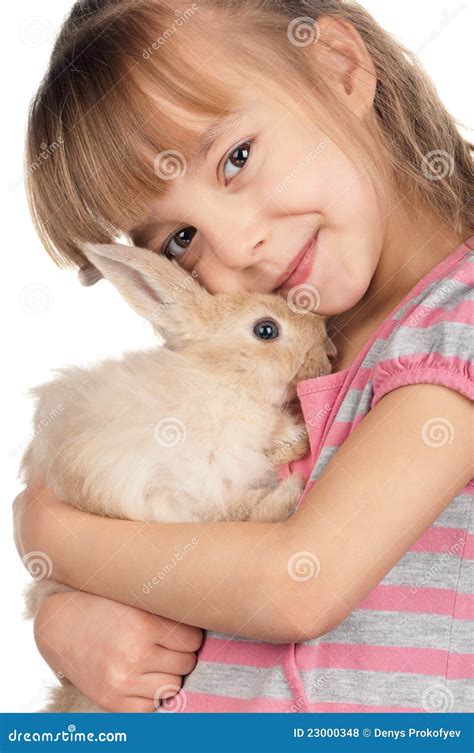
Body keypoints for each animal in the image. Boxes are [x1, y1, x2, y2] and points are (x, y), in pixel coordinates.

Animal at [21, 241, 334, 712]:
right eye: (266, 330)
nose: (329, 347)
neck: (224, 379)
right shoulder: (190, 493)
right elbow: (241, 512)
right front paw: (290, 488)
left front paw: (293, 444)